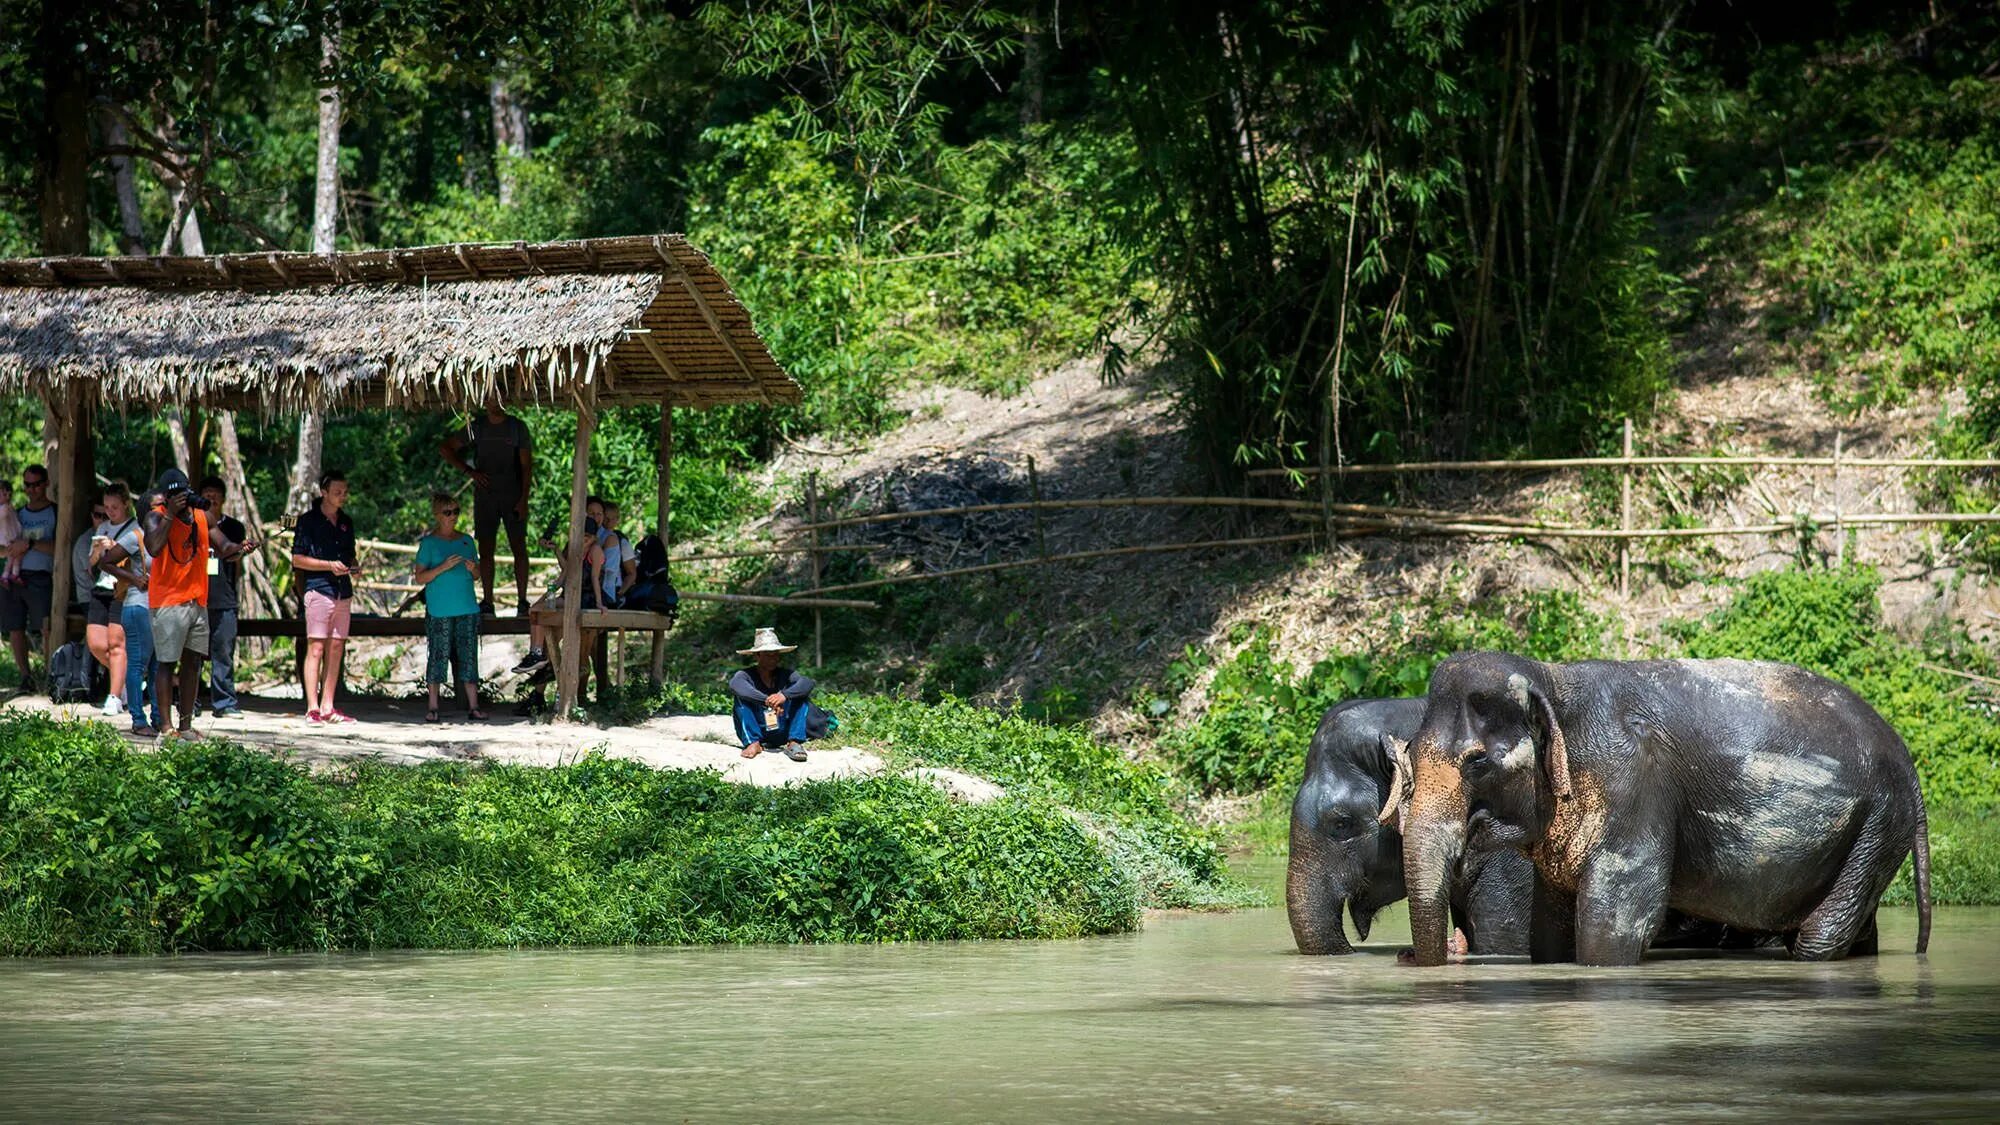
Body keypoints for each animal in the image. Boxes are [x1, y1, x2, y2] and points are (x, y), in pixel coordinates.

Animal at [1392, 648, 1936, 964]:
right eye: (1411, 756)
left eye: (1478, 762)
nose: (1406, 956)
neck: (1555, 682)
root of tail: (1909, 763)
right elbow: (1548, 932)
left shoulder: (1635, 782)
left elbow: (1615, 921)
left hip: (1878, 827)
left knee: (1819, 936)